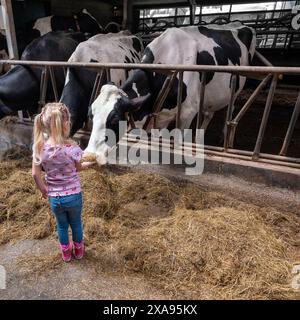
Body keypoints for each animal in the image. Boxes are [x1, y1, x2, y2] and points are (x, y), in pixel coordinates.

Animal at [84, 21, 255, 162]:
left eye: (114, 120)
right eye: (91, 115)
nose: (89, 154)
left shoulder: (187, 112)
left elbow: (178, 142)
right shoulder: (159, 116)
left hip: (236, 88)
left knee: (231, 109)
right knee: (208, 113)